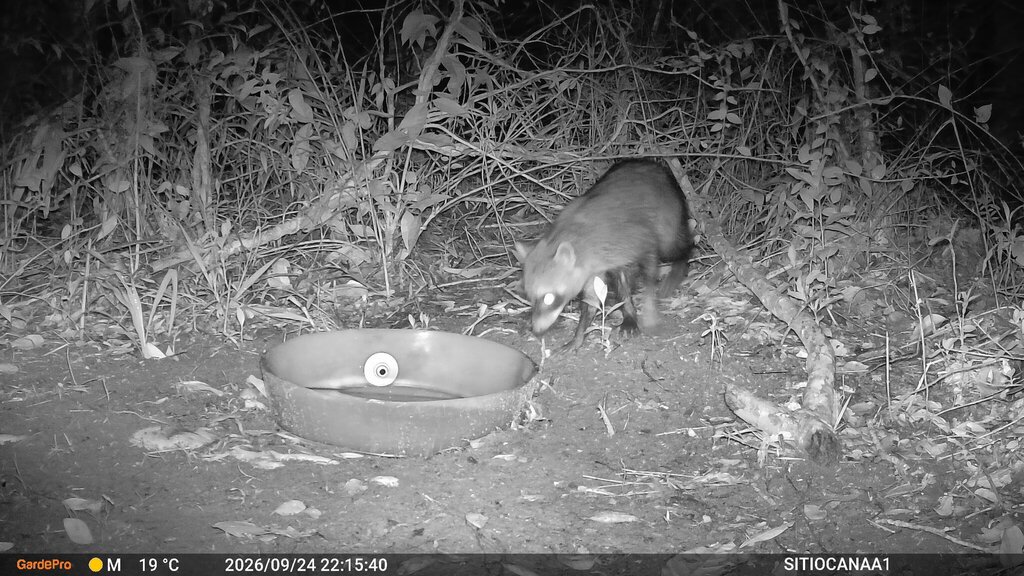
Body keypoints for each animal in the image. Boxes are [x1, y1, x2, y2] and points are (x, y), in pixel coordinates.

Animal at [515, 159, 694, 351]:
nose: (537, 330)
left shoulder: (640, 238)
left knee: (674, 245)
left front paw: (649, 309)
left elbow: (650, 275)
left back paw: (681, 262)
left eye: (549, 298)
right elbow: (592, 300)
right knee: (623, 281)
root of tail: (649, 162)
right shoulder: (592, 268)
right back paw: (628, 312)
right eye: (529, 296)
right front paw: (579, 335)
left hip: (667, 216)